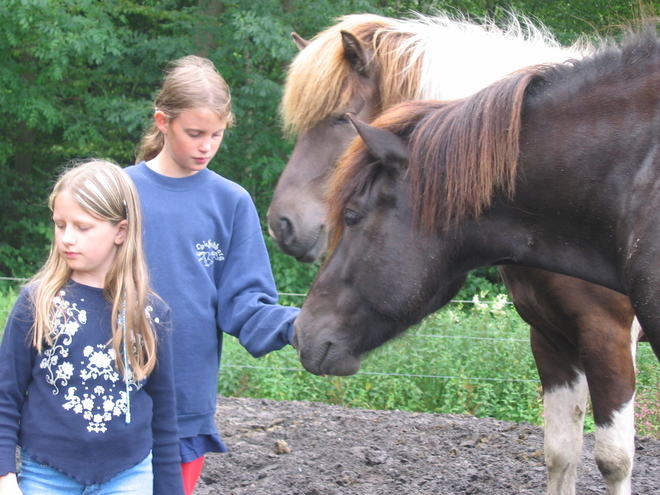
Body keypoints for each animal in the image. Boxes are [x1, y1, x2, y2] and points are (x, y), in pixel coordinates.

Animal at [274, 12, 644, 495]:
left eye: (339, 118)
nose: (281, 224)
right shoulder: (550, 338)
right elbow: (561, 454)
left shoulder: (608, 338)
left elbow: (613, 461)